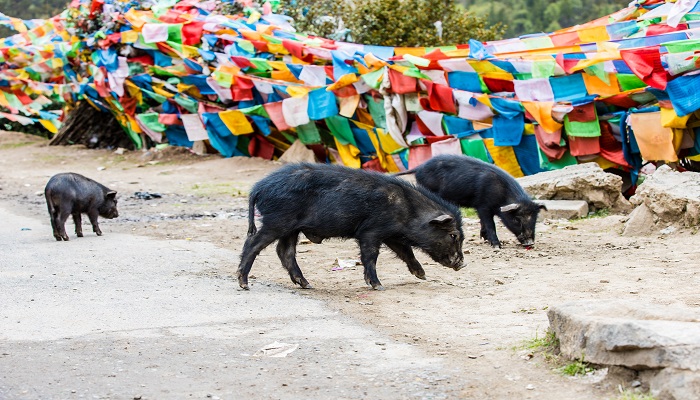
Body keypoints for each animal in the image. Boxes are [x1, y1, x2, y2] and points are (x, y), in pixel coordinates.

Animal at [238, 162, 468, 290]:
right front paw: (378, 286)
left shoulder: (391, 234)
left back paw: (307, 284)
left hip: (290, 228)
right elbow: (371, 256)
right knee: (253, 243)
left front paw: (422, 275)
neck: (408, 210)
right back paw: (244, 283)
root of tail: (258, 188)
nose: (462, 264)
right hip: (277, 221)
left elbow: (406, 252)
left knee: (284, 251)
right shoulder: (370, 231)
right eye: (454, 235)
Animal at [396, 155, 544, 248]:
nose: (530, 243)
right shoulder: (483, 205)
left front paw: (484, 238)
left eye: (535, 219)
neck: (502, 194)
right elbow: (490, 224)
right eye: (517, 219)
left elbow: (483, 222)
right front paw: (497, 246)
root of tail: (419, 168)